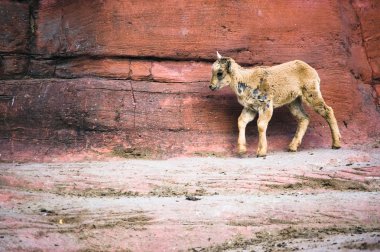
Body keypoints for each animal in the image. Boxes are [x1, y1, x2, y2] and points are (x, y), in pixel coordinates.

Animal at [211, 52, 342, 157]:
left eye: (220, 73)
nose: (211, 86)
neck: (247, 81)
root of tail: (312, 71)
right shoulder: (250, 108)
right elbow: (241, 121)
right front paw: (242, 150)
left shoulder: (266, 104)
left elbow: (261, 125)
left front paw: (261, 152)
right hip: (294, 101)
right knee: (304, 118)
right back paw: (292, 147)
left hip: (311, 92)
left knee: (327, 110)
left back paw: (336, 144)